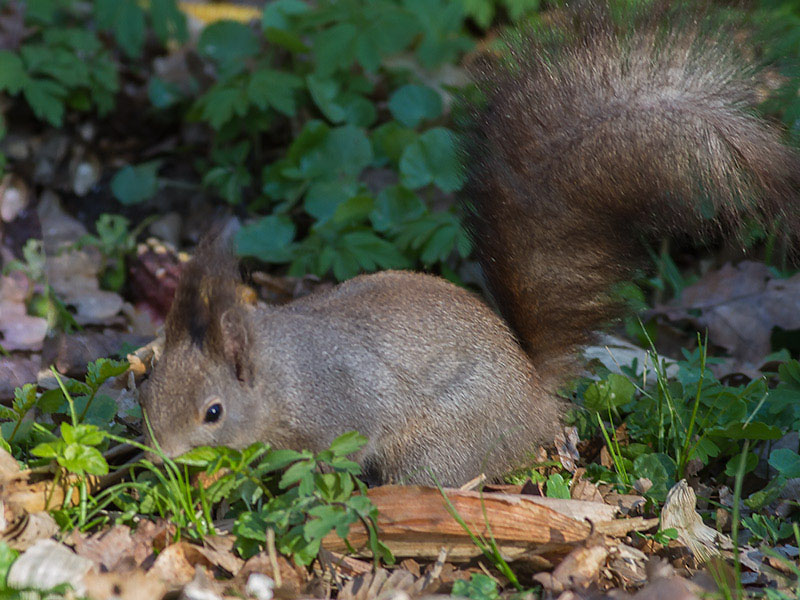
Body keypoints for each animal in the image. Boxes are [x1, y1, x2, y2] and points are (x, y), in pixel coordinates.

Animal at [139, 5, 800, 488]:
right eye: (147, 382)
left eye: (213, 412)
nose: (157, 456)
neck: (280, 376)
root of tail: (535, 401)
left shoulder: (339, 411)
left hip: (438, 445)